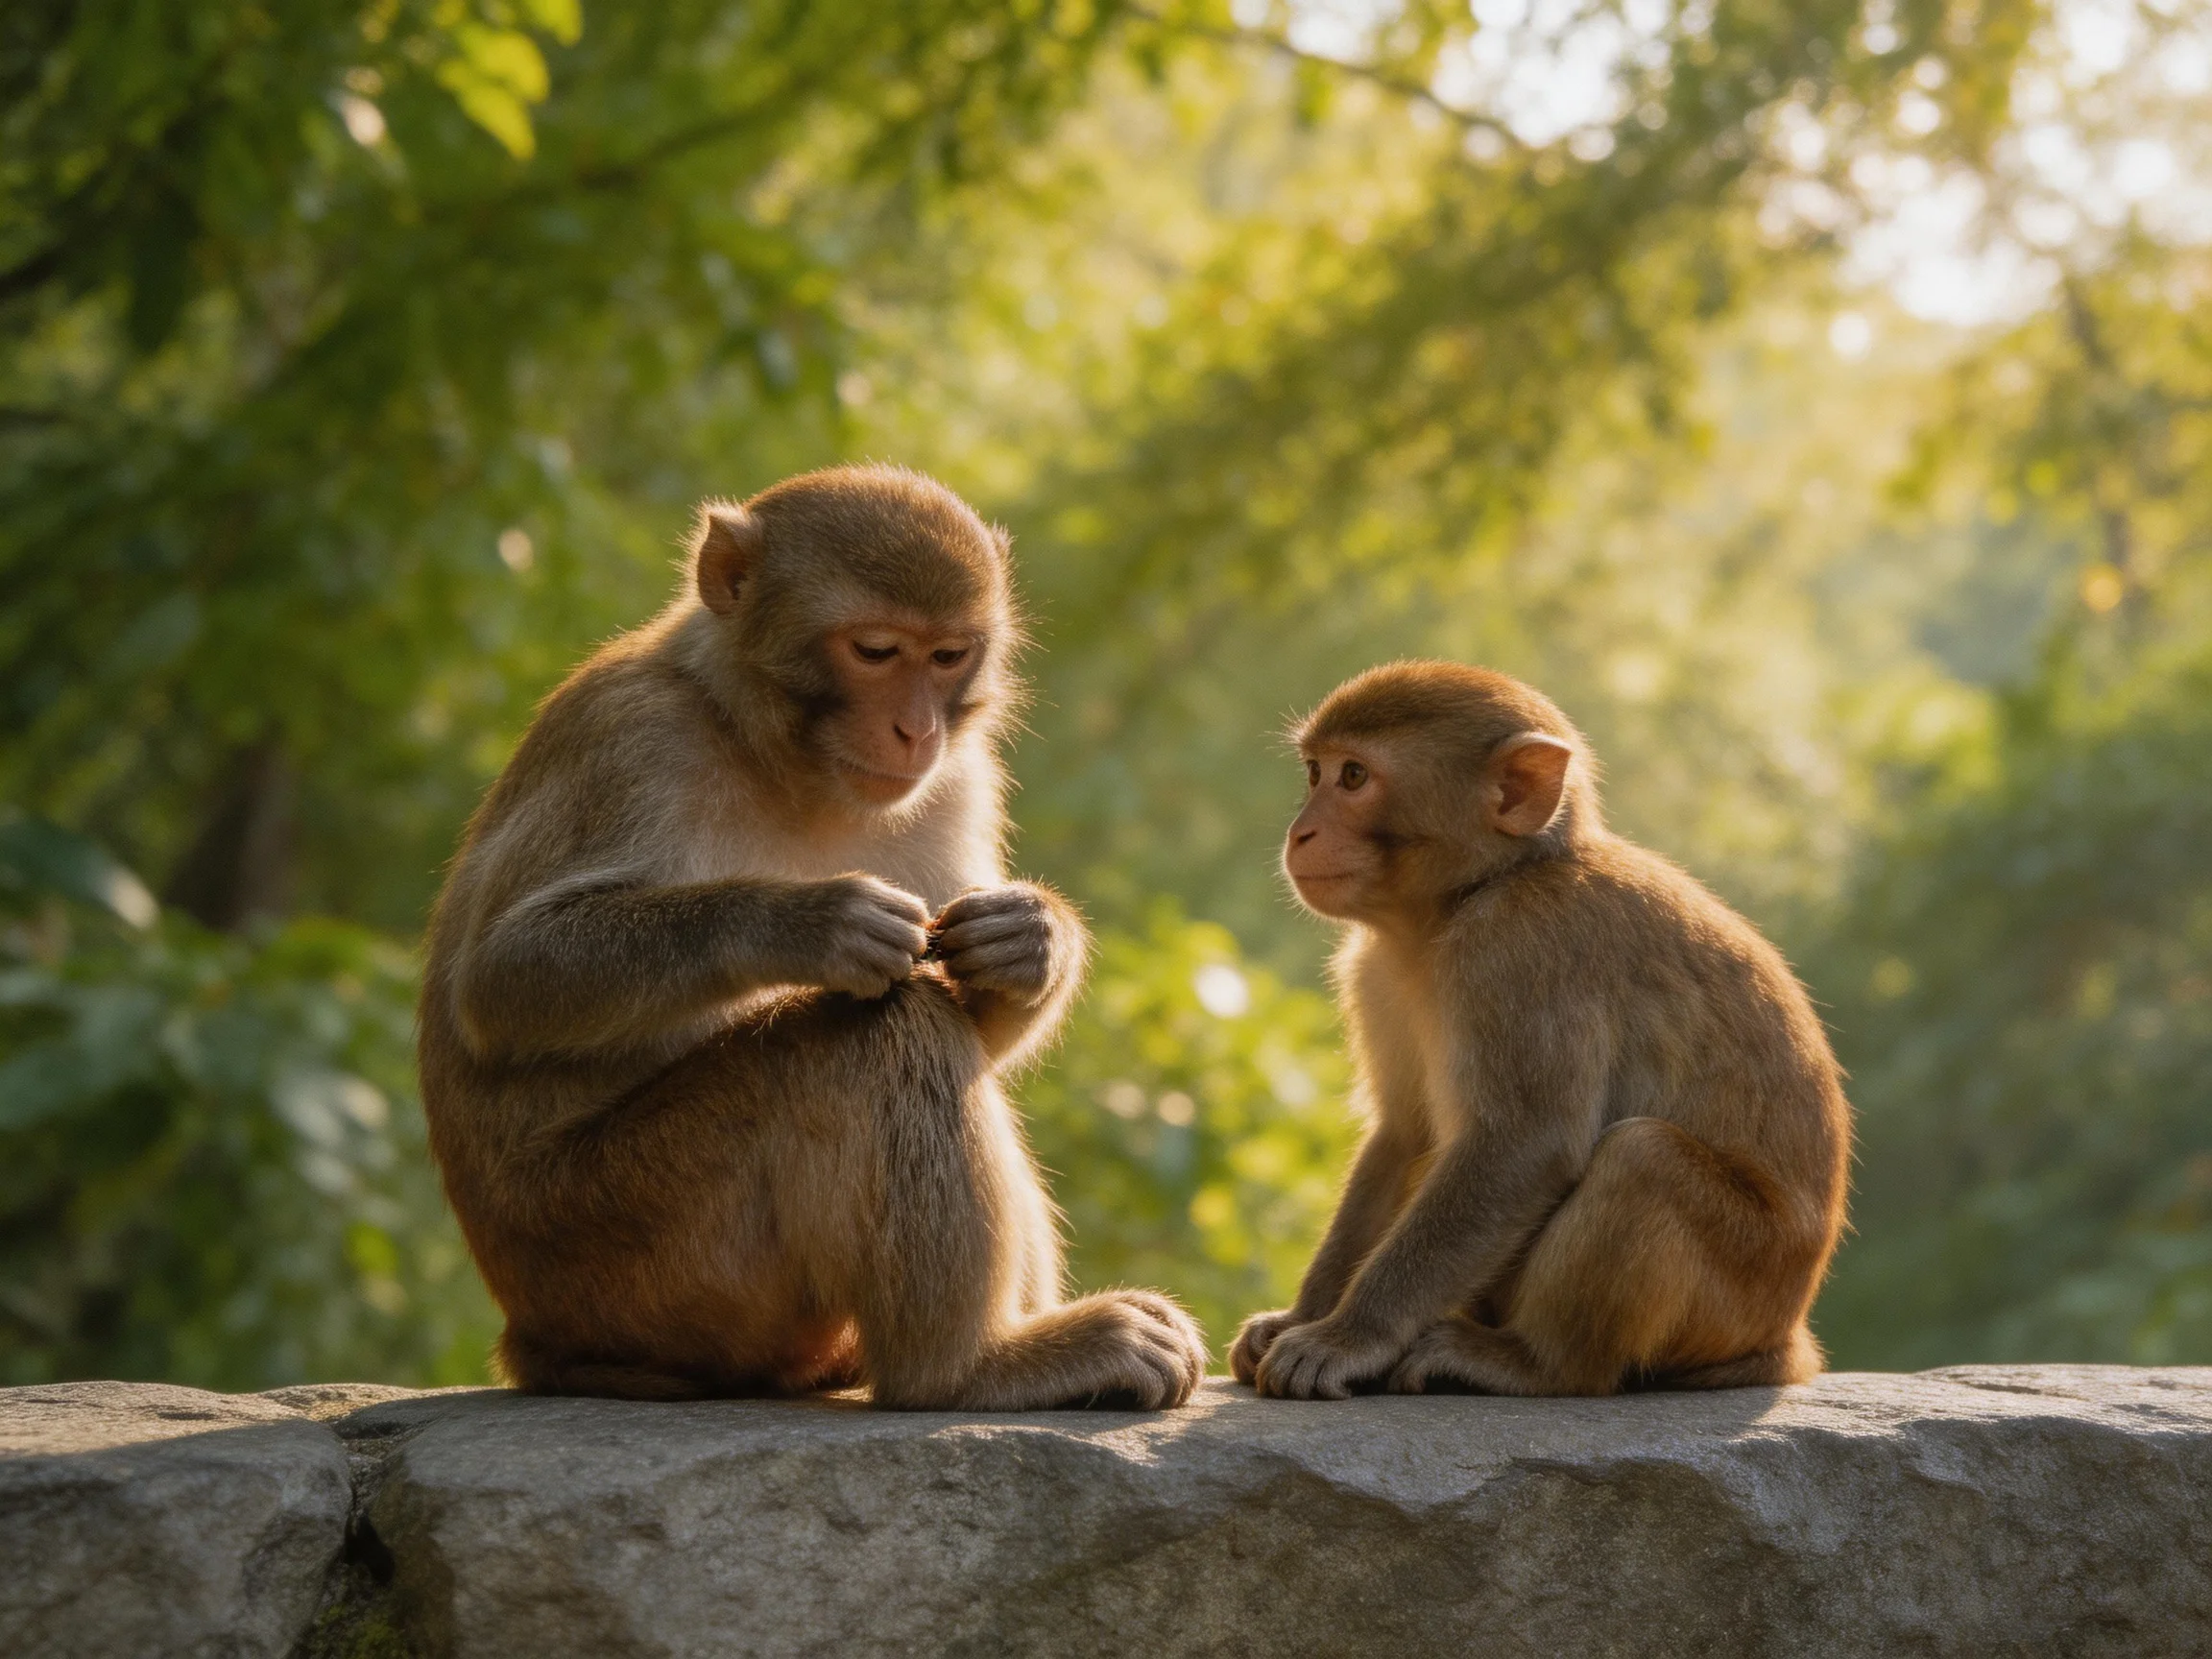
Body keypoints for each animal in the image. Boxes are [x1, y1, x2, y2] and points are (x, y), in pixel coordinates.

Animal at [418, 464, 1206, 1409]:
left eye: (948, 656)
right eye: (875, 651)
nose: (917, 730)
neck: (777, 757)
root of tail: (533, 1336)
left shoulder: (959, 779)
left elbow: (978, 1012)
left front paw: (1030, 943)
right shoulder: (628, 740)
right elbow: (503, 979)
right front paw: (814, 922)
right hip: (627, 1246)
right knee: (871, 1039)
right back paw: (966, 1369)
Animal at [1229, 661, 1850, 1399]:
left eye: (1353, 777)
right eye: (1315, 772)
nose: (1300, 833)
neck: (1475, 893)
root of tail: (1786, 1339)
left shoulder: (1521, 949)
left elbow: (1525, 1145)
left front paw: (1348, 1338)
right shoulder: (1372, 971)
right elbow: (1404, 1136)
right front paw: (1303, 1317)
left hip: (1740, 1290)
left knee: (1644, 1158)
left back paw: (1536, 1362)